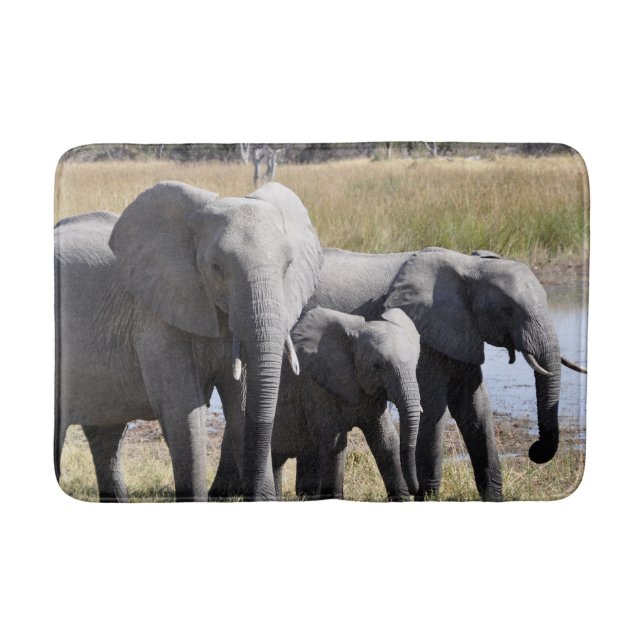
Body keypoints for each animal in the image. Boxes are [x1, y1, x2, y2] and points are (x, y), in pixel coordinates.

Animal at [55, 181, 323, 501]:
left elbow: (242, 406)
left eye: (288, 266)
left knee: (106, 435)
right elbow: (183, 414)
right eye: (216, 267)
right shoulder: (157, 318)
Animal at [268, 306, 421, 500]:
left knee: (276, 460)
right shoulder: (316, 387)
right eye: (377, 365)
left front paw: (402, 500)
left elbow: (387, 441)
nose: (414, 489)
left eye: (415, 364)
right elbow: (333, 443)